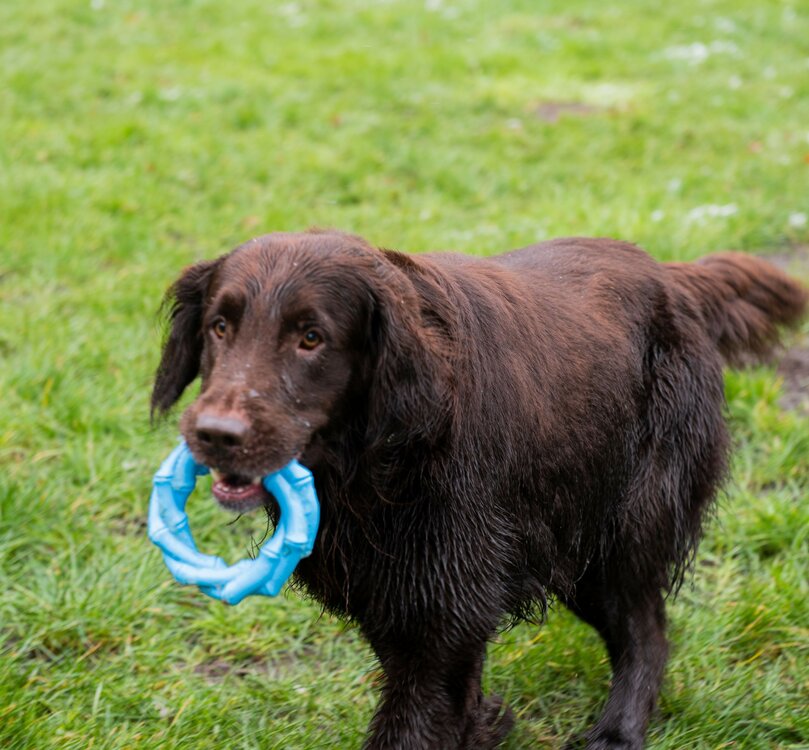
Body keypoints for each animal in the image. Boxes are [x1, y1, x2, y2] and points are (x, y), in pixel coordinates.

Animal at [153, 232, 808, 748]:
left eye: (311, 337)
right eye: (219, 327)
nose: (215, 435)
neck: (381, 461)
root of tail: (672, 277)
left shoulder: (444, 605)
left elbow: (413, 720)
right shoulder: (397, 595)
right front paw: (482, 724)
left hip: (622, 526)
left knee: (646, 631)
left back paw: (617, 734)